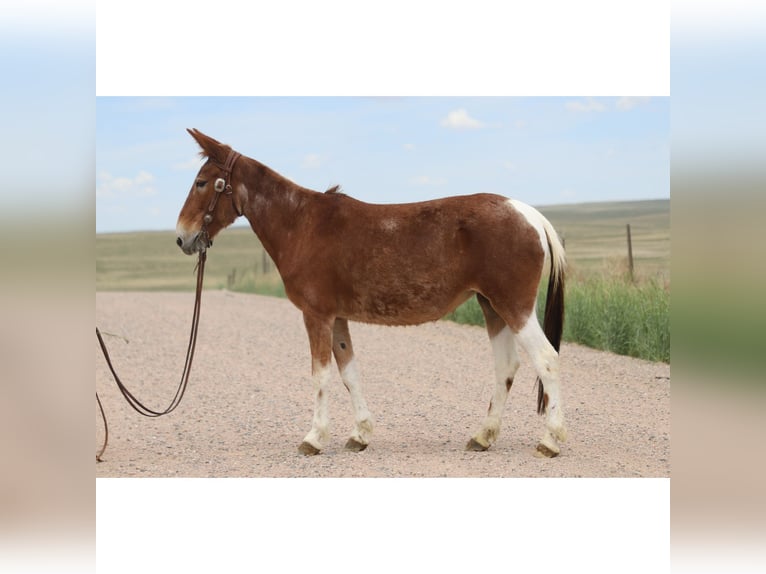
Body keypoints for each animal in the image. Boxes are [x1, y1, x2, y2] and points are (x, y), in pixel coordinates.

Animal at [176, 128, 568, 457]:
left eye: (201, 183)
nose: (182, 238)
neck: (301, 224)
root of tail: (529, 214)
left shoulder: (316, 315)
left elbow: (320, 374)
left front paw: (314, 438)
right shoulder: (337, 317)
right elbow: (349, 372)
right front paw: (360, 434)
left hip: (514, 307)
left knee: (547, 360)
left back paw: (550, 440)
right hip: (491, 306)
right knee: (506, 365)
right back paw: (483, 437)